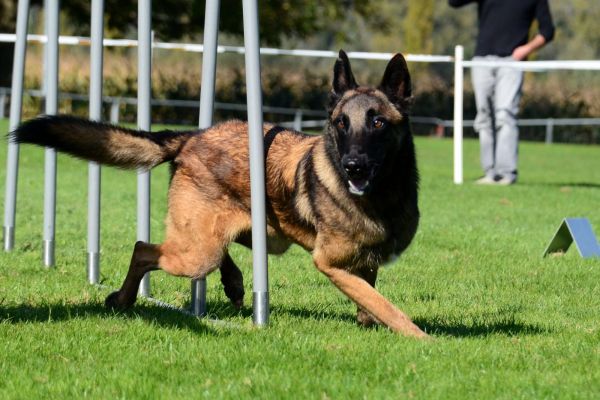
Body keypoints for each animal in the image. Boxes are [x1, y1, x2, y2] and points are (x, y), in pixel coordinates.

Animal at [12, 50, 426, 338]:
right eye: (341, 123)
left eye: (378, 122)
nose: (352, 165)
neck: (382, 195)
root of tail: (190, 137)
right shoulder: (331, 264)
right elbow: (384, 305)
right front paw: (421, 340)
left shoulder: (365, 264)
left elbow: (370, 302)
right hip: (198, 253)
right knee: (144, 249)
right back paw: (124, 298)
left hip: (242, 233)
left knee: (213, 248)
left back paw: (234, 283)